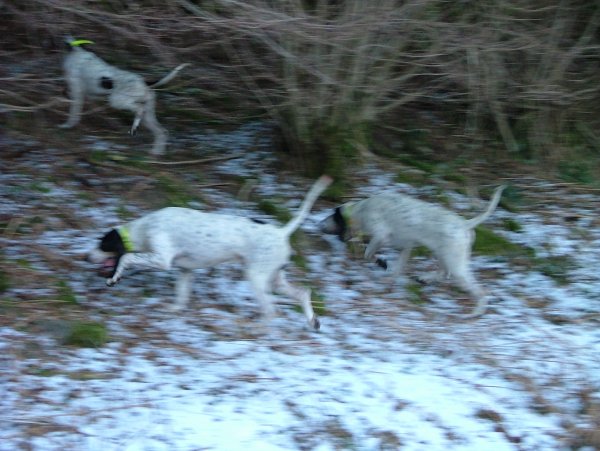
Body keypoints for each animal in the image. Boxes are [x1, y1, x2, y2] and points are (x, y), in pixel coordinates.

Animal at [60, 36, 188, 155]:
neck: (77, 51)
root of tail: (144, 83)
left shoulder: (77, 93)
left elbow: (73, 113)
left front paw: (68, 125)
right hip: (148, 115)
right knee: (162, 131)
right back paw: (156, 152)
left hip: (117, 101)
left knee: (139, 110)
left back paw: (135, 128)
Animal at [85, 176, 332, 328]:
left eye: (102, 244)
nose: (85, 256)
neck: (143, 228)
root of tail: (281, 232)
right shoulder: (185, 271)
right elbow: (181, 296)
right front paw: (174, 309)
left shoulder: (162, 259)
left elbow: (126, 257)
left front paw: (114, 277)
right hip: (275, 279)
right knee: (303, 293)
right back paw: (312, 321)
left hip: (256, 278)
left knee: (271, 310)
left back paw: (258, 328)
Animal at [318, 185, 506, 318]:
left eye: (333, 216)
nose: (319, 224)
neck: (361, 209)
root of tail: (464, 224)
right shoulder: (405, 248)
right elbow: (395, 269)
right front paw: (388, 282)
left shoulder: (380, 236)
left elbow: (368, 253)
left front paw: (381, 263)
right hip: (444, 255)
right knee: (444, 273)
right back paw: (425, 278)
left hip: (455, 263)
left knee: (481, 292)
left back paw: (476, 312)